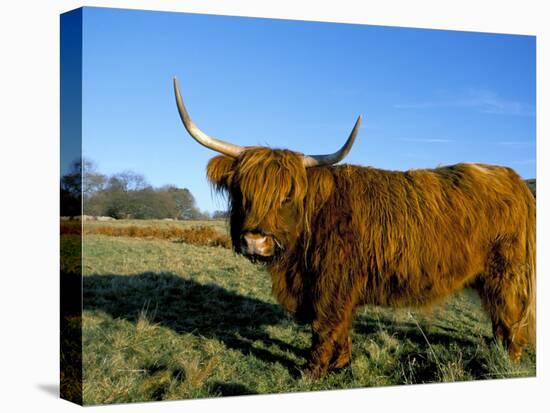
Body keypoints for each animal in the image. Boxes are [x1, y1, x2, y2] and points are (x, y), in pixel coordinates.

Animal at [175, 77, 536, 376]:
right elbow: (341, 327)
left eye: (287, 197)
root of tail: (514, 179)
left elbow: (324, 327)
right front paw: (340, 363)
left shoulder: (331, 284)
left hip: (507, 274)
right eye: (241, 192)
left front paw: (312, 370)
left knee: (511, 318)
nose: (254, 241)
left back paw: (507, 361)